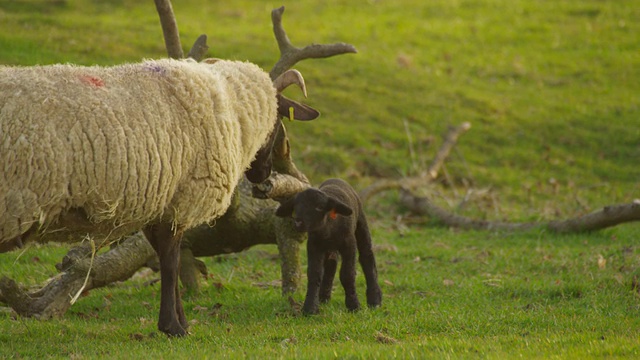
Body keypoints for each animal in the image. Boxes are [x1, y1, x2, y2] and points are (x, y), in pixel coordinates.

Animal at [0, 57, 320, 336]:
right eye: (278, 118)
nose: (263, 173)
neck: (227, 106)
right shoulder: (180, 201)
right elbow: (171, 261)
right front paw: (174, 327)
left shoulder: (158, 205)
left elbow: (167, 259)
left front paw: (179, 322)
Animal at [274, 179, 380, 314]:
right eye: (295, 207)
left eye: (319, 207)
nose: (298, 221)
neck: (327, 229)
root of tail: (336, 179)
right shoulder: (313, 246)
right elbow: (314, 274)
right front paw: (310, 308)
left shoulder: (349, 245)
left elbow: (347, 274)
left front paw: (354, 306)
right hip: (329, 248)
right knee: (331, 264)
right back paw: (324, 298)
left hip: (361, 222)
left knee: (367, 255)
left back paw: (375, 300)